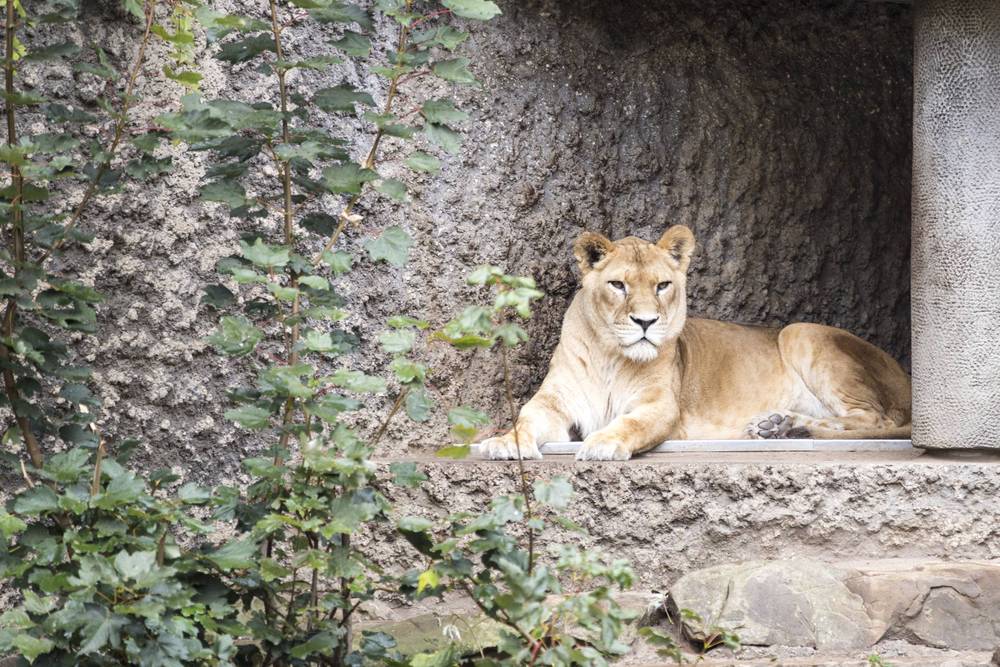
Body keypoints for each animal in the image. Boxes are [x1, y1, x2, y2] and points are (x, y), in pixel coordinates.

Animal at [479, 225, 912, 461]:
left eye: (662, 285)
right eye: (618, 285)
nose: (646, 322)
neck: (610, 357)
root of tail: (909, 378)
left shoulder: (660, 407)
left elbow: (629, 424)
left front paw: (603, 444)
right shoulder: (554, 404)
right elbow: (524, 419)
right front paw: (502, 443)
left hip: (800, 331)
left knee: (878, 421)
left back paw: (789, 428)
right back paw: (780, 426)